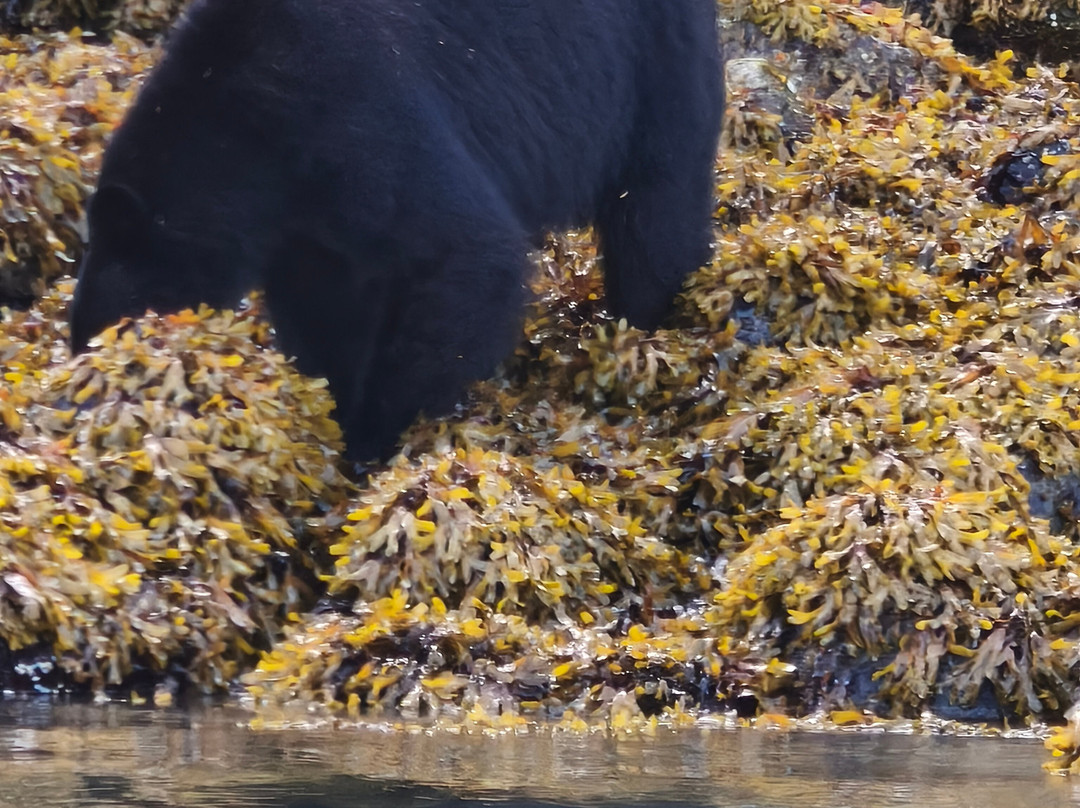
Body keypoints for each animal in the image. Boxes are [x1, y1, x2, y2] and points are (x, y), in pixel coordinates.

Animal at [69, 0, 724, 461]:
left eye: (112, 333)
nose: (81, 373)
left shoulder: (357, 107)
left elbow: (465, 254)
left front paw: (375, 438)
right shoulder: (303, 228)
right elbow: (323, 311)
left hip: (651, 65)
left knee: (655, 213)